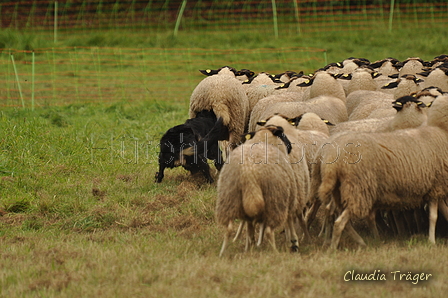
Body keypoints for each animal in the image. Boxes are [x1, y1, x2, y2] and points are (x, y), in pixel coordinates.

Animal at [312, 95, 448, 249]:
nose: (393, 103)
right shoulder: (436, 186)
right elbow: (433, 216)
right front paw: (431, 240)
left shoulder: (434, 188)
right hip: (358, 190)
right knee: (340, 220)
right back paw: (337, 245)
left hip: (340, 191)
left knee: (334, 213)